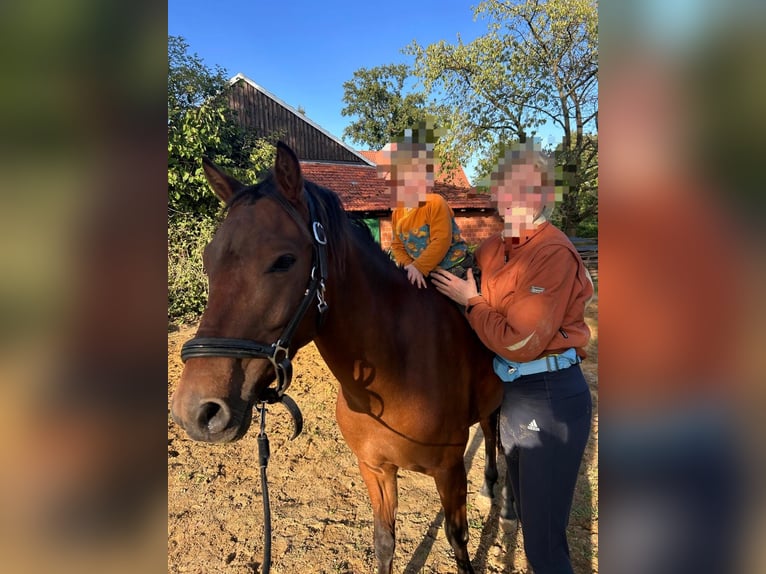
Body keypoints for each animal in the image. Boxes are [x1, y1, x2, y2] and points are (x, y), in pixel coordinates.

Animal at [170, 141, 505, 573]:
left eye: (284, 260)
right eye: (209, 261)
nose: (196, 411)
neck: (397, 374)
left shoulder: (449, 471)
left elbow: (457, 540)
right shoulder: (375, 469)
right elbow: (384, 542)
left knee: (496, 432)